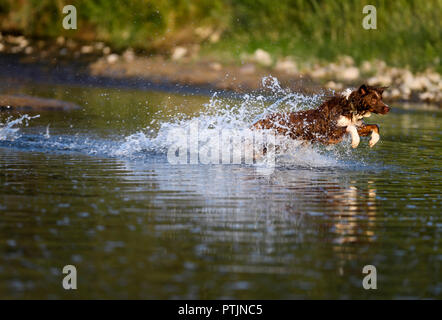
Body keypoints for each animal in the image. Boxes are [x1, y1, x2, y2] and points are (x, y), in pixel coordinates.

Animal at [252, 85, 390, 149]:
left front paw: (373, 140)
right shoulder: (330, 131)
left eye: (381, 98)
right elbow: (350, 128)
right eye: (373, 99)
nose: (388, 108)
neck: (351, 108)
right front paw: (355, 142)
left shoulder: (358, 125)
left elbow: (375, 126)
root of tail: (260, 121)